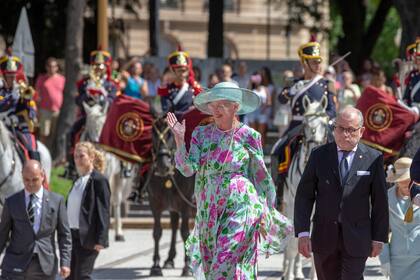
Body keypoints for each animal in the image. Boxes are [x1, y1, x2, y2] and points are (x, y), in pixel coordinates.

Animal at [82, 103, 139, 241]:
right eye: (89, 123)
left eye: (103, 124)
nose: (97, 145)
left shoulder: (107, 175)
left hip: (119, 177)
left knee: (116, 200)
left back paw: (118, 232)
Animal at [144, 115, 196, 276]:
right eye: (153, 133)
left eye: (170, 135)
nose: (162, 165)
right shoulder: (154, 203)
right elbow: (157, 232)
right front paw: (156, 265)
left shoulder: (186, 204)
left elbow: (185, 232)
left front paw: (187, 267)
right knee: (173, 226)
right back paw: (169, 259)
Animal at [280, 95, 330, 280]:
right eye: (305, 125)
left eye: (325, 123)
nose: (314, 150)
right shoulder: (295, 203)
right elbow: (293, 244)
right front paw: (288, 275)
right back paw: (287, 269)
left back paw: (299, 270)